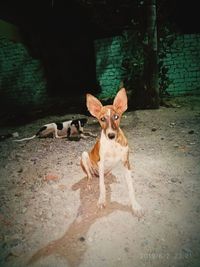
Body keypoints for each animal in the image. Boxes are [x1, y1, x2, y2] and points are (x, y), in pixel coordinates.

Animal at [80, 88, 143, 218]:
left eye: (116, 116)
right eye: (102, 119)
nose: (111, 135)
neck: (113, 145)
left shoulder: (126, 162)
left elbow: (131, 187)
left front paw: (135, 206)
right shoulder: (101, 163)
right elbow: (102, 185)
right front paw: (101, 201)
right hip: (84, 155)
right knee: (90, 176)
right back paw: (89, 183)